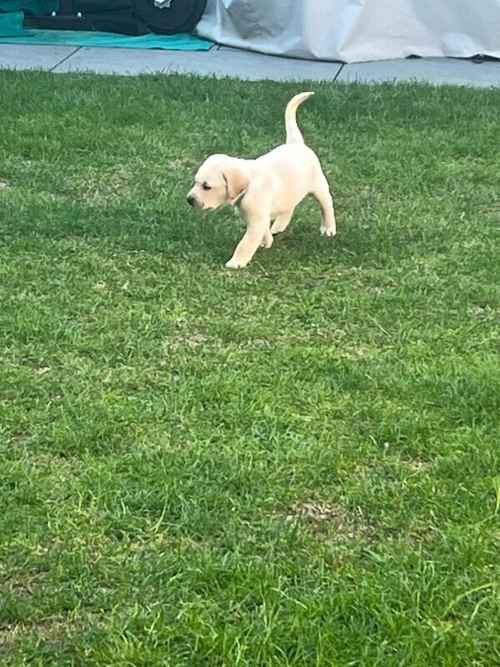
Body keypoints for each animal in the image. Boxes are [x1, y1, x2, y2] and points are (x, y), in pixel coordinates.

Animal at [188, 92, 336, 268]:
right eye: (195, 182)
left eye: (206, 186)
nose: (189, 199)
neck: (249, 185)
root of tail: (296, 144)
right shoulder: (256, 216)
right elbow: (263, 229)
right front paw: (266, 241)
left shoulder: (256, 219)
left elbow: (245, 243)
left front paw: (236, 262)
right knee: (289, 207)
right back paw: (279, 226)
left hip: (319, 186)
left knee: (326, 205)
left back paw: (328, 228)